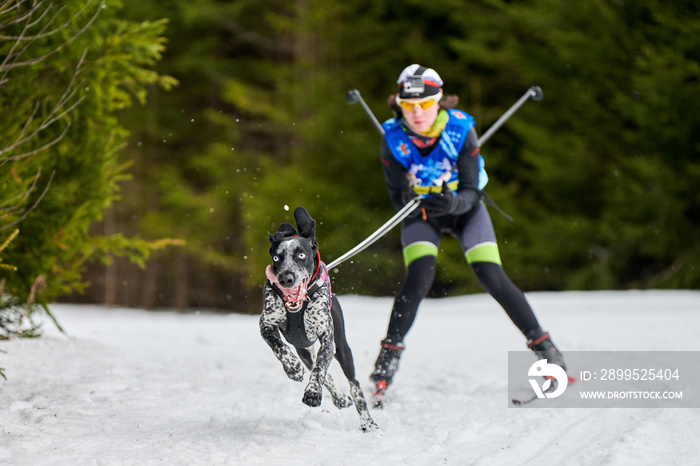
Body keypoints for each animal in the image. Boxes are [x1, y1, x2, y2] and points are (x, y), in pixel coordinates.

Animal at [258, 206, 378, 432]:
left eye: (301, 255)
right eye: (277, 258)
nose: (285, 279)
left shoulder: (327, 337)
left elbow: (321, 368)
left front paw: (313, 392)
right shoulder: (266, 324)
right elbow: (279, 346)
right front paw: (292, 368)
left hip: (343, 350)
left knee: (354, 384)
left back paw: (368, 421)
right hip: (304, 351)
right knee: (319, 369)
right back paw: (340, 399)